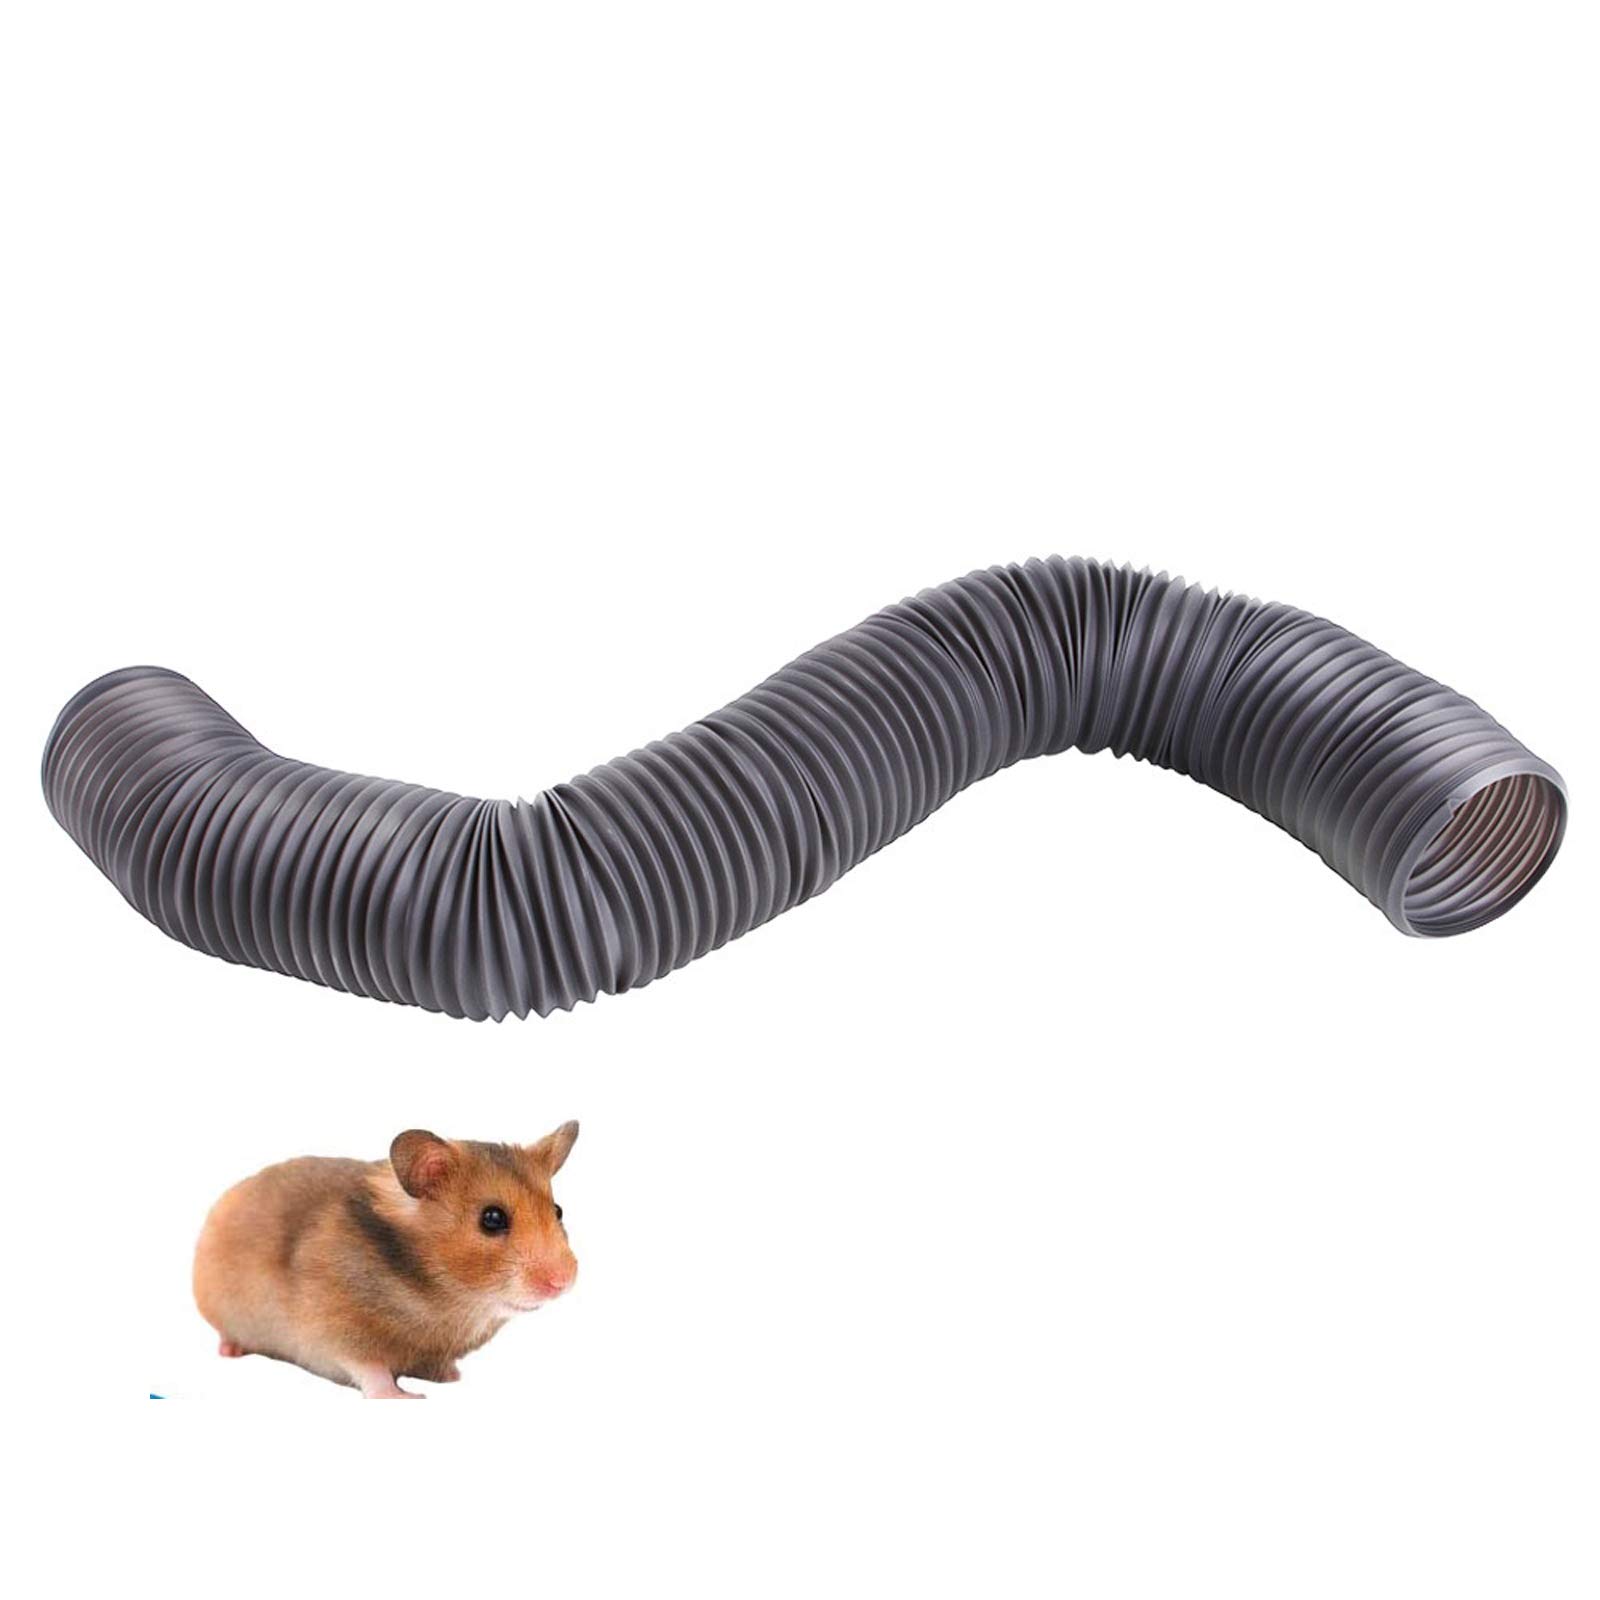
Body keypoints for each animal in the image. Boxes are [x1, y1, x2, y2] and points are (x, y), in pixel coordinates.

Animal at [193, 1122, 579, 1398]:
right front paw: (404, 1396)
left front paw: (451, 1378)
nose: (563, 1282)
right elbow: (370, 1369)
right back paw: (230, 1350)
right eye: (492, 1218)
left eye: (558, 1210)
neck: (443, 1298)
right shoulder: (334, 1330)